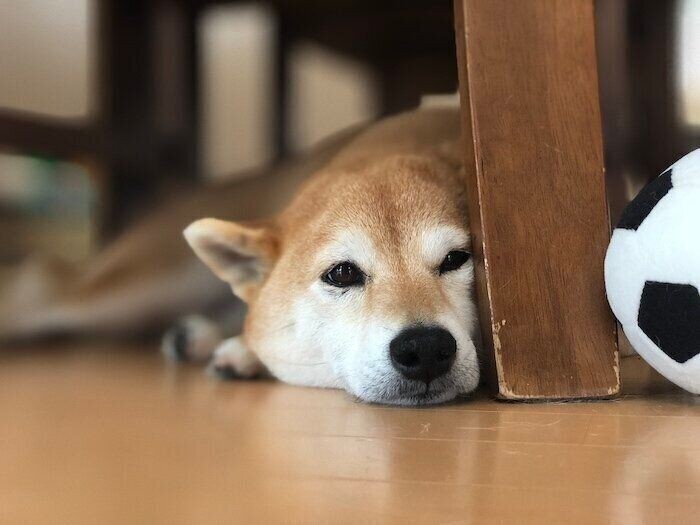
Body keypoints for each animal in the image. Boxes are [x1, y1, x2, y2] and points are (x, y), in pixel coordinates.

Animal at [0, 107, 478, 406]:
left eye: (456, 259)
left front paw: (244, 352)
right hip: (147, 283)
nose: (426, 347)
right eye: (342, 273)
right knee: (39, 281)